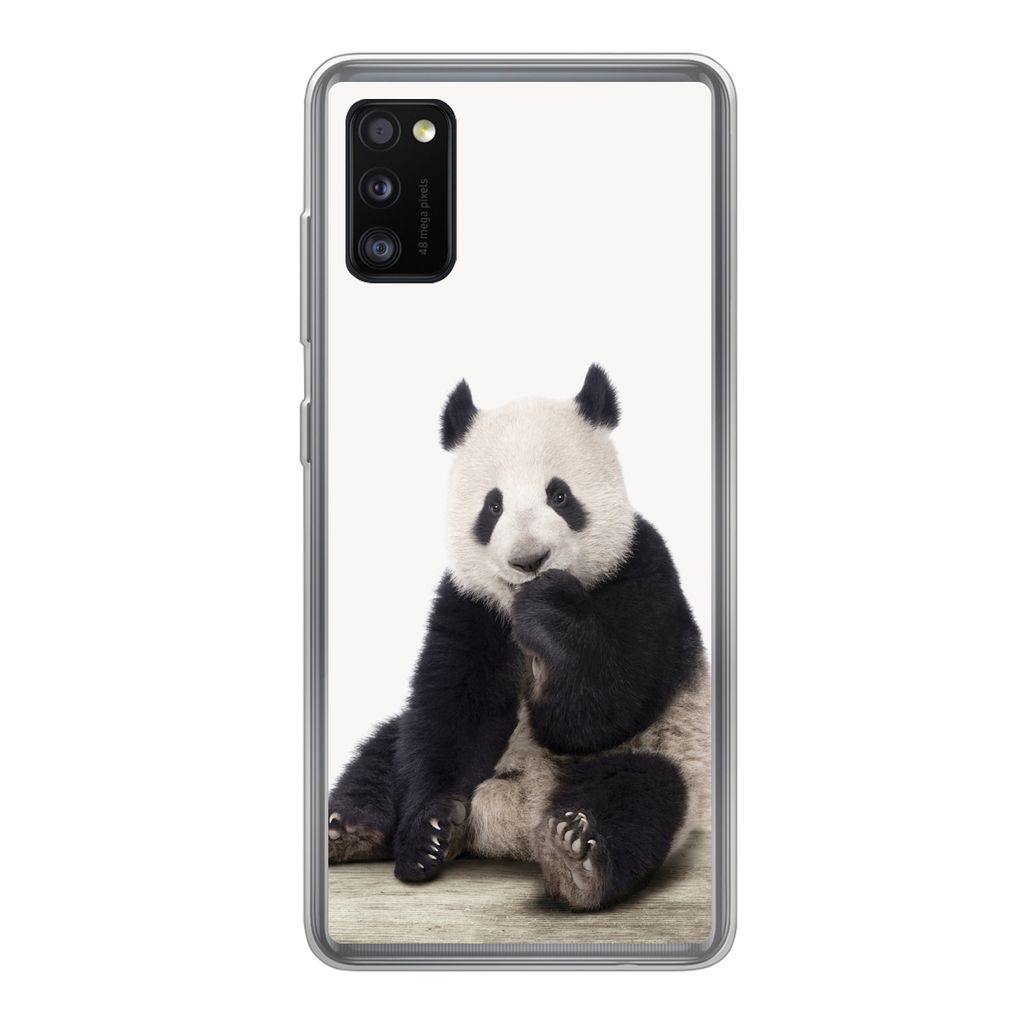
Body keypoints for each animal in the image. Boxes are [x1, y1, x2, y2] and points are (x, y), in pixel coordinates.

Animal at [327, 365, 710, 911]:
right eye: (493, 505)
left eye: (560, 496)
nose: (530, 560)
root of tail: (515, 823)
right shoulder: (469, 603)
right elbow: (452, 712)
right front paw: (428, 835)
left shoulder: (642, 572)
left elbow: (601, 710)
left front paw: (549, 613)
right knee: (385, 752)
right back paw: (350, 830)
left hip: (671, 753)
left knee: (642, 795)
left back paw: (577, 857)